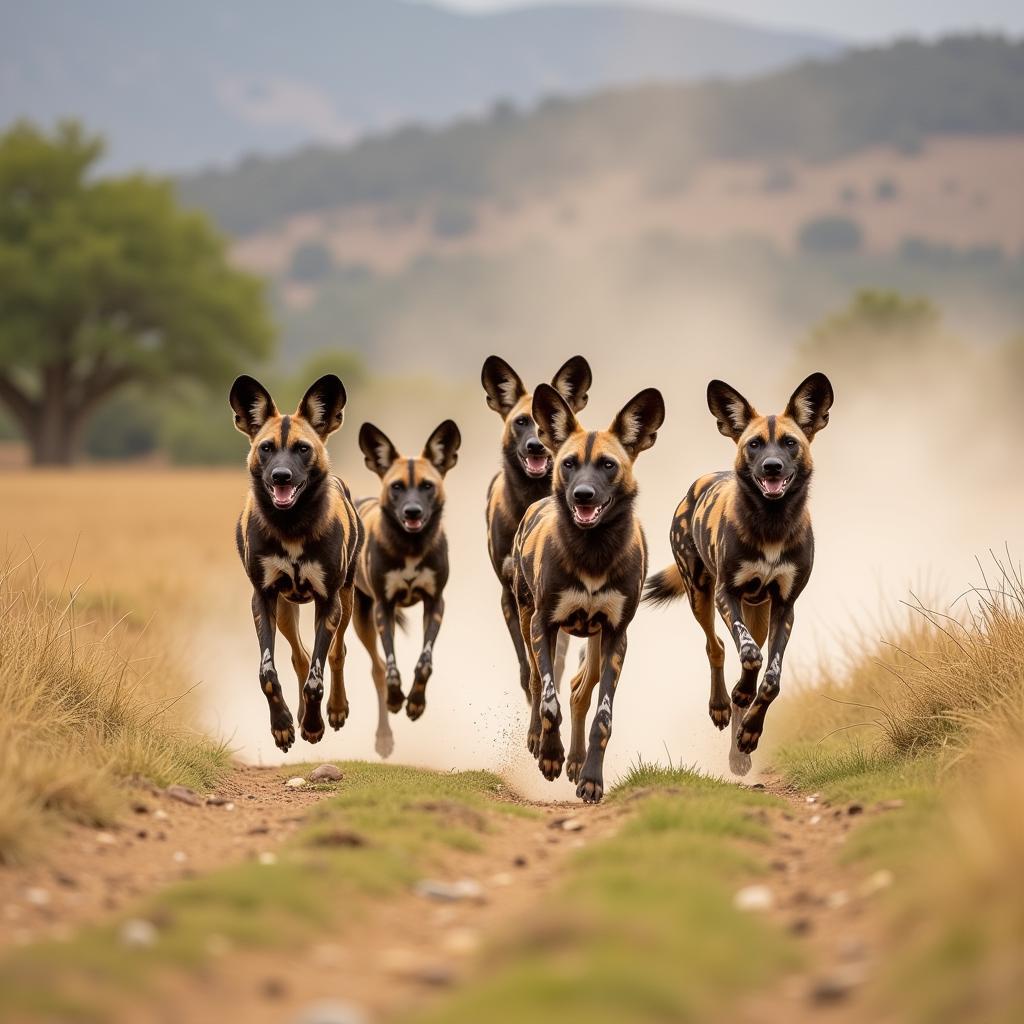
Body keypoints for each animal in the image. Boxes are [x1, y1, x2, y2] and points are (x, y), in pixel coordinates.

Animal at [231, 376, 364, 753]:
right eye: (266, 448)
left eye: (303, 449)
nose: (281, 476)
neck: (291, 526)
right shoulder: (262, 598)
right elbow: (268, 674)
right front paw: (283, 726)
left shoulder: (328, 601)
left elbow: (317, 679)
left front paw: (316, 725)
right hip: (285, 610)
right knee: (300, 657)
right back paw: (301, 715)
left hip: (344, 602)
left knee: (335, 654)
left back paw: (333, 710)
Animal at [354, 417, 462, 761]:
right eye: (397, 487)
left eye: (427, 486)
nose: (412, 512)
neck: (411, 547)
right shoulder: (383, 607)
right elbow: (390, 668)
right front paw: (396, 698)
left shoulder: (435, 603)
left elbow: (424, 663)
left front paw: (415, 703)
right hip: (360, 621)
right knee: (376, 668)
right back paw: (383, 737)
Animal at [509, 382, 663, 798]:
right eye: (569, 463)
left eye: (608, 465)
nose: (582, 495)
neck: (593, 551)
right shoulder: (544, 625)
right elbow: (549, 702)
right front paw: (550, 754)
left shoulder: (615, 635)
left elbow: (602, 718)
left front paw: (592, 778)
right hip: (528, 621)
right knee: (537, 681)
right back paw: (539, 741)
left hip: (595, 642)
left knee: (580, 689)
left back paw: (577, 761)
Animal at [647, 372, 831, 770]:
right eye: (754, 445)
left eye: (790, 443)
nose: (772, 467)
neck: (772, 523)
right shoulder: (725, 594)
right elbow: (749, 656)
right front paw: (741, 695)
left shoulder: (784, 607)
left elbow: (771, 679)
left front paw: (750, 732)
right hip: (701, 596)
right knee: (715, 646)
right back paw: (720, 704)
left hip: (758, 613)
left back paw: (738, 750)